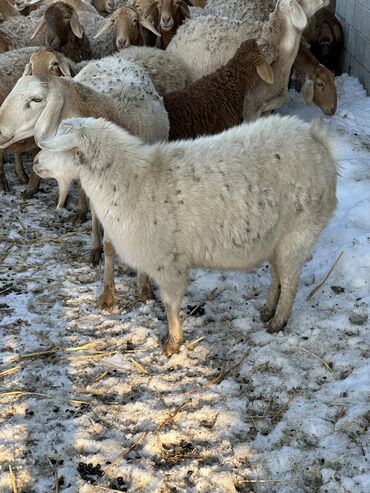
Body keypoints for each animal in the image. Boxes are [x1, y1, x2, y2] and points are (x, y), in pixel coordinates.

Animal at [35, 114, 338, 354]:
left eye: (62, 149)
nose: (36, 163)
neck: (134, 182)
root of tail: (317, 140)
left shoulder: (168, 263)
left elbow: (170, 304)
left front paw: (173, 342)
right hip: (277, 239)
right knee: (278, 275)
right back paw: (267, 311)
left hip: (300, 232)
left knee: (290, 281)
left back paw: (277, 322)